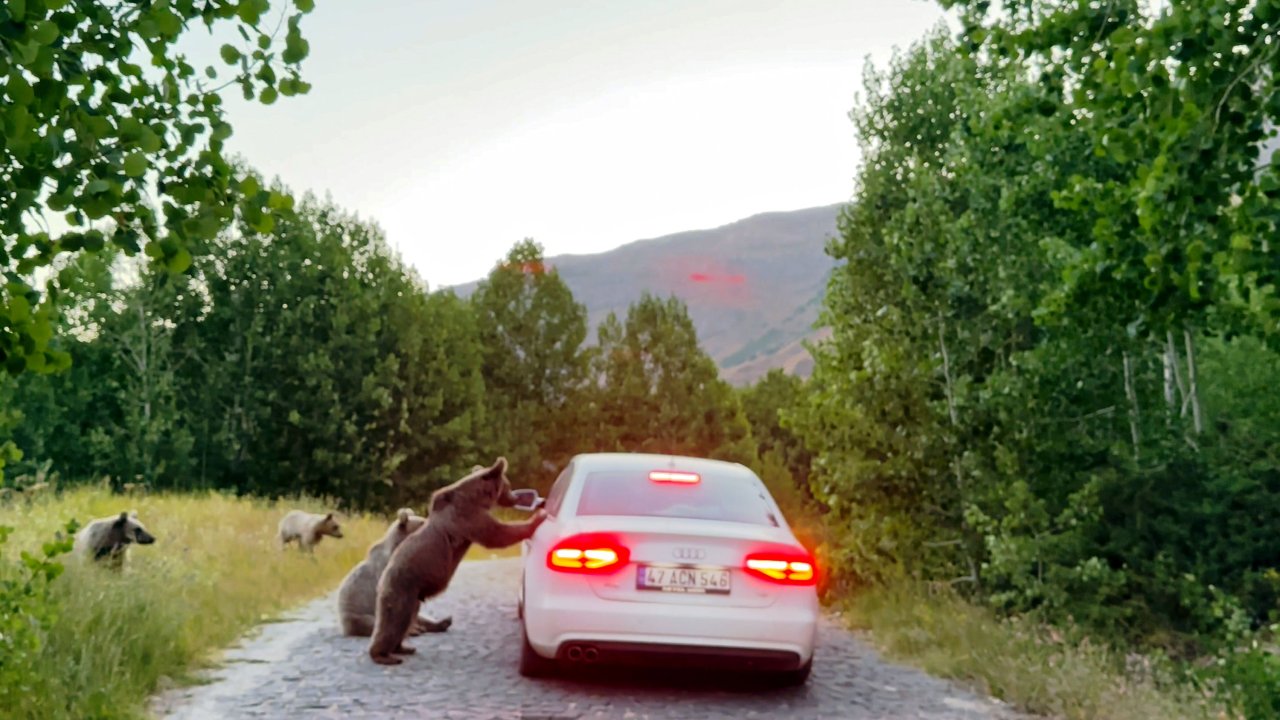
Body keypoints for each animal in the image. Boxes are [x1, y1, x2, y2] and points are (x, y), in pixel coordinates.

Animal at [371, 456, 550, 666]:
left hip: (413, 595)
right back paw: (383, 655)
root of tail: (382, 578)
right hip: (402, 588)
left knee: (405, 620)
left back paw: (403, 648)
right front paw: (537, 519)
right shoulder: (467, 517)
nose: (514, 497)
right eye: (507, 484)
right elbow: (496, 534)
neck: (476, 498)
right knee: (395, 620)